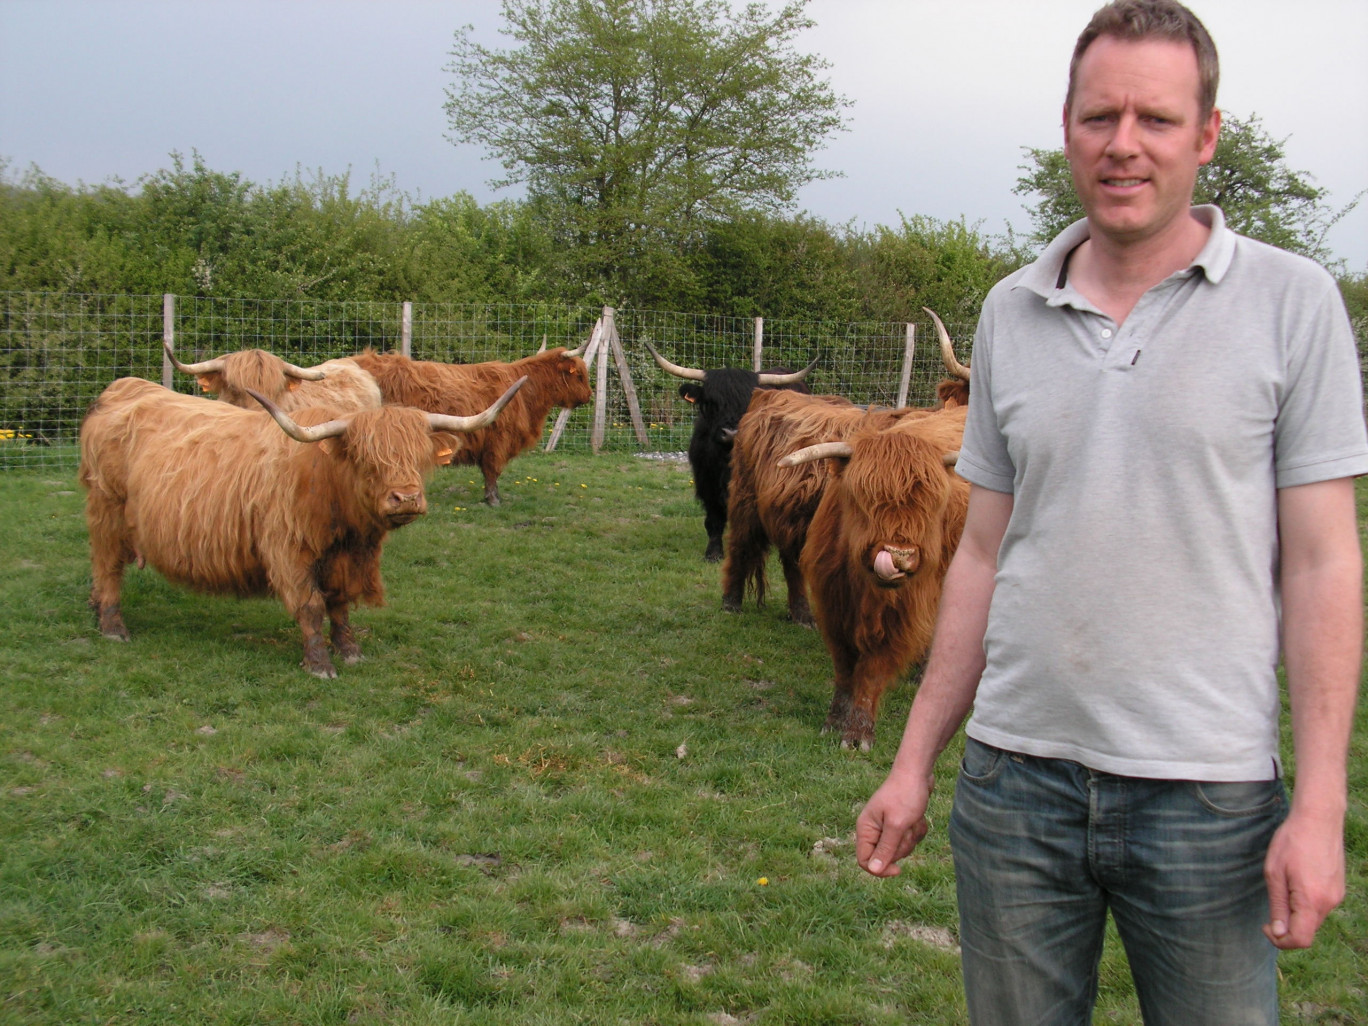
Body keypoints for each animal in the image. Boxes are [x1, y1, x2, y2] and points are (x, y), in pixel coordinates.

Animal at [80, 374, 525, 678]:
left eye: (419, 457)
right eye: (366, 459)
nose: (406, 498)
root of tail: (123, 387)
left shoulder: (346, 559)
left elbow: (340, 605)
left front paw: (350, 651)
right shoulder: (288, 550)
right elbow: (311, 606)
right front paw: (319, 663)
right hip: (106, 511)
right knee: (107, 568)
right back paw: (112, 626)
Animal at [350, 346, 590, 506]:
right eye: (579, 375)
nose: (589, 395)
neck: (527, 393)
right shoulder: (498, 441)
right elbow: (492, 471)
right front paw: (493, 500)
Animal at [787, 404, 968, 749]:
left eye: (932, 504)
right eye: (864, 497)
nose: (900, 555)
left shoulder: (902, 616)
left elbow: (872, 672)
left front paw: (858, 735)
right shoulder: (832, 605)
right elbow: (845, 667)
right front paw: (833, 722)